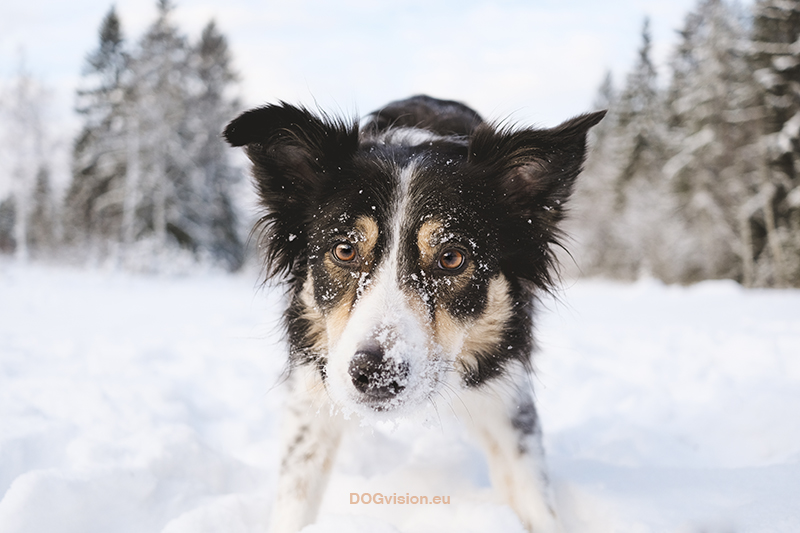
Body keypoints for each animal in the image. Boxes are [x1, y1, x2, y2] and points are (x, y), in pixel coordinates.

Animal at [222, 93, 604, 528]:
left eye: (452, 258)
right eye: (345, 250)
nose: (376, 374)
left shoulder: (507, 395)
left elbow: (535, 501)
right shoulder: (311, 390)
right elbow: (295, 495)